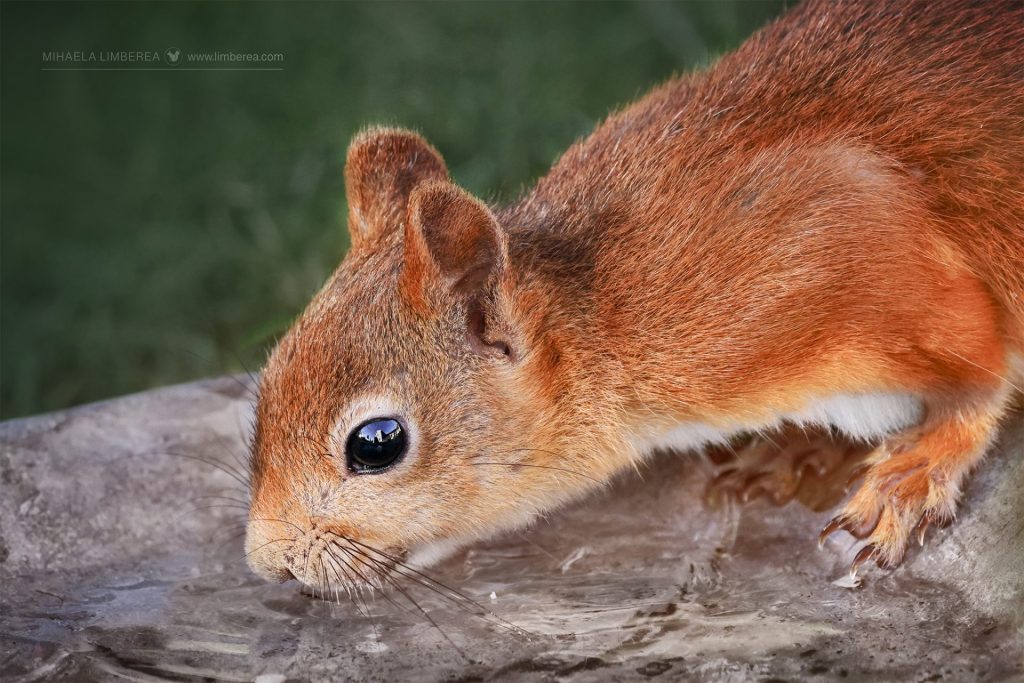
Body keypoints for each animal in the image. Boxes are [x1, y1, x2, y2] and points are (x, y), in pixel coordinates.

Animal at [245, 0, 1024, 589]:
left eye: (377, 443)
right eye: (269, 375)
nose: (267, 562)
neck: (611, 315)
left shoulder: (850, 251)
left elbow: (978, 370)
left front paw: (914, 471)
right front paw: (795, 446)